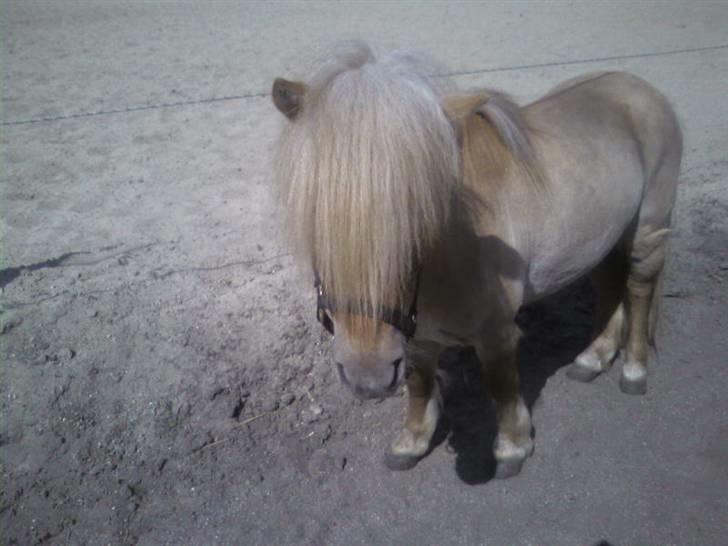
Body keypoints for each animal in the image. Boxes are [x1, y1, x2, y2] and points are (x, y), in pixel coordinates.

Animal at [271, 42, 681, 478]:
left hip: (648, 227)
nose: (368, 377)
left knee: (638, 289)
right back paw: (593, 357)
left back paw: (634, 369)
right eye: (316, 217)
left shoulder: (496, 331)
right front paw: (411, 441)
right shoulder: (417, 336)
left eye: (421, 213)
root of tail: (639, 86)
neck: (450, 256)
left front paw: (513, 446)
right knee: (609, 285)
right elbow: (418, 384)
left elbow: (500, 384)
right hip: (604, 235)